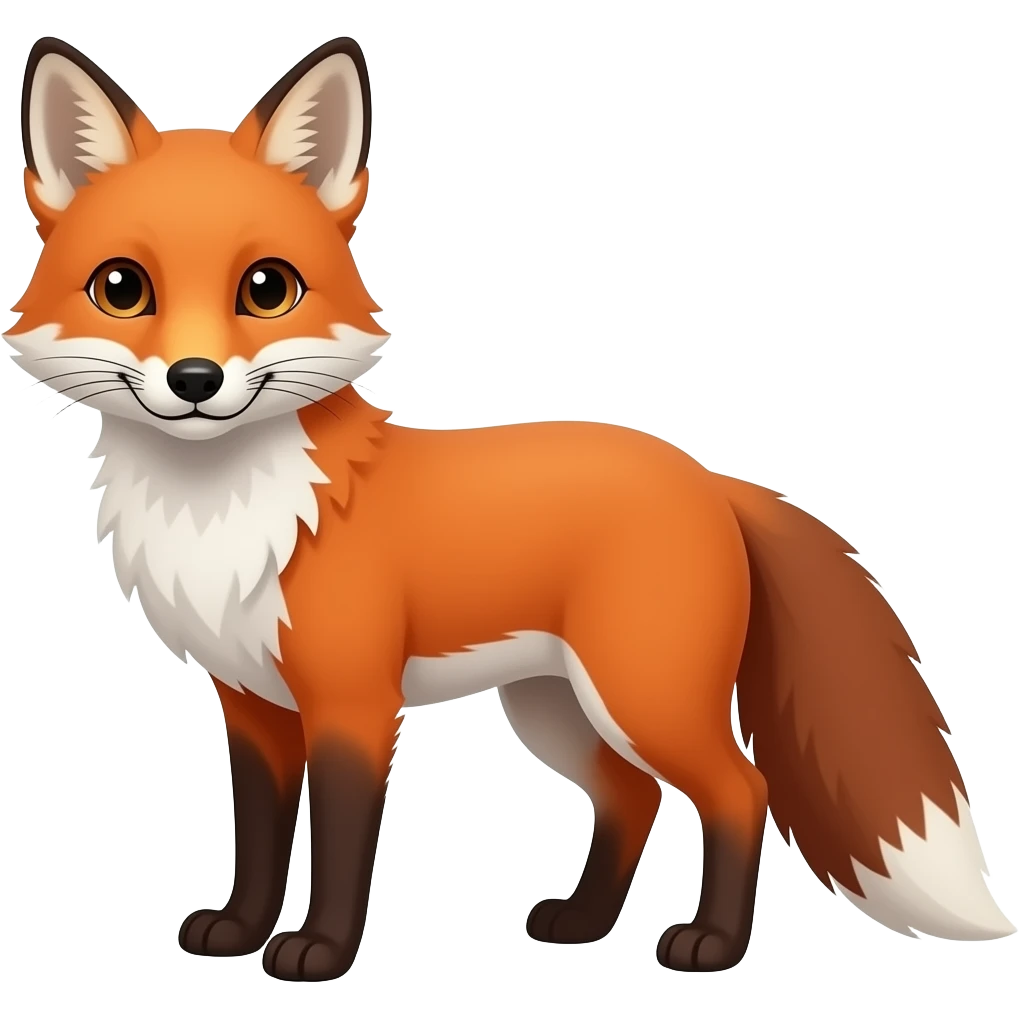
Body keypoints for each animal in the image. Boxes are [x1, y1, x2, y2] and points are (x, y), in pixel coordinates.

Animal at [8, 34, 1015, 983]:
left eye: (266, 288)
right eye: (122, 287)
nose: (194, 380)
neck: (226, 516)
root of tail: (706, 475)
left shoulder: (354, 702)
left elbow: (339, 844)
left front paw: (319, 951)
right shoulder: (252, 703)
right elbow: (257, 838)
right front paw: (237, 931)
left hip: (642, 695)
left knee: (740, 789)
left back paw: (711, 944)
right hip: (556, 709)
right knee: (631, 797)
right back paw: (582, 922)